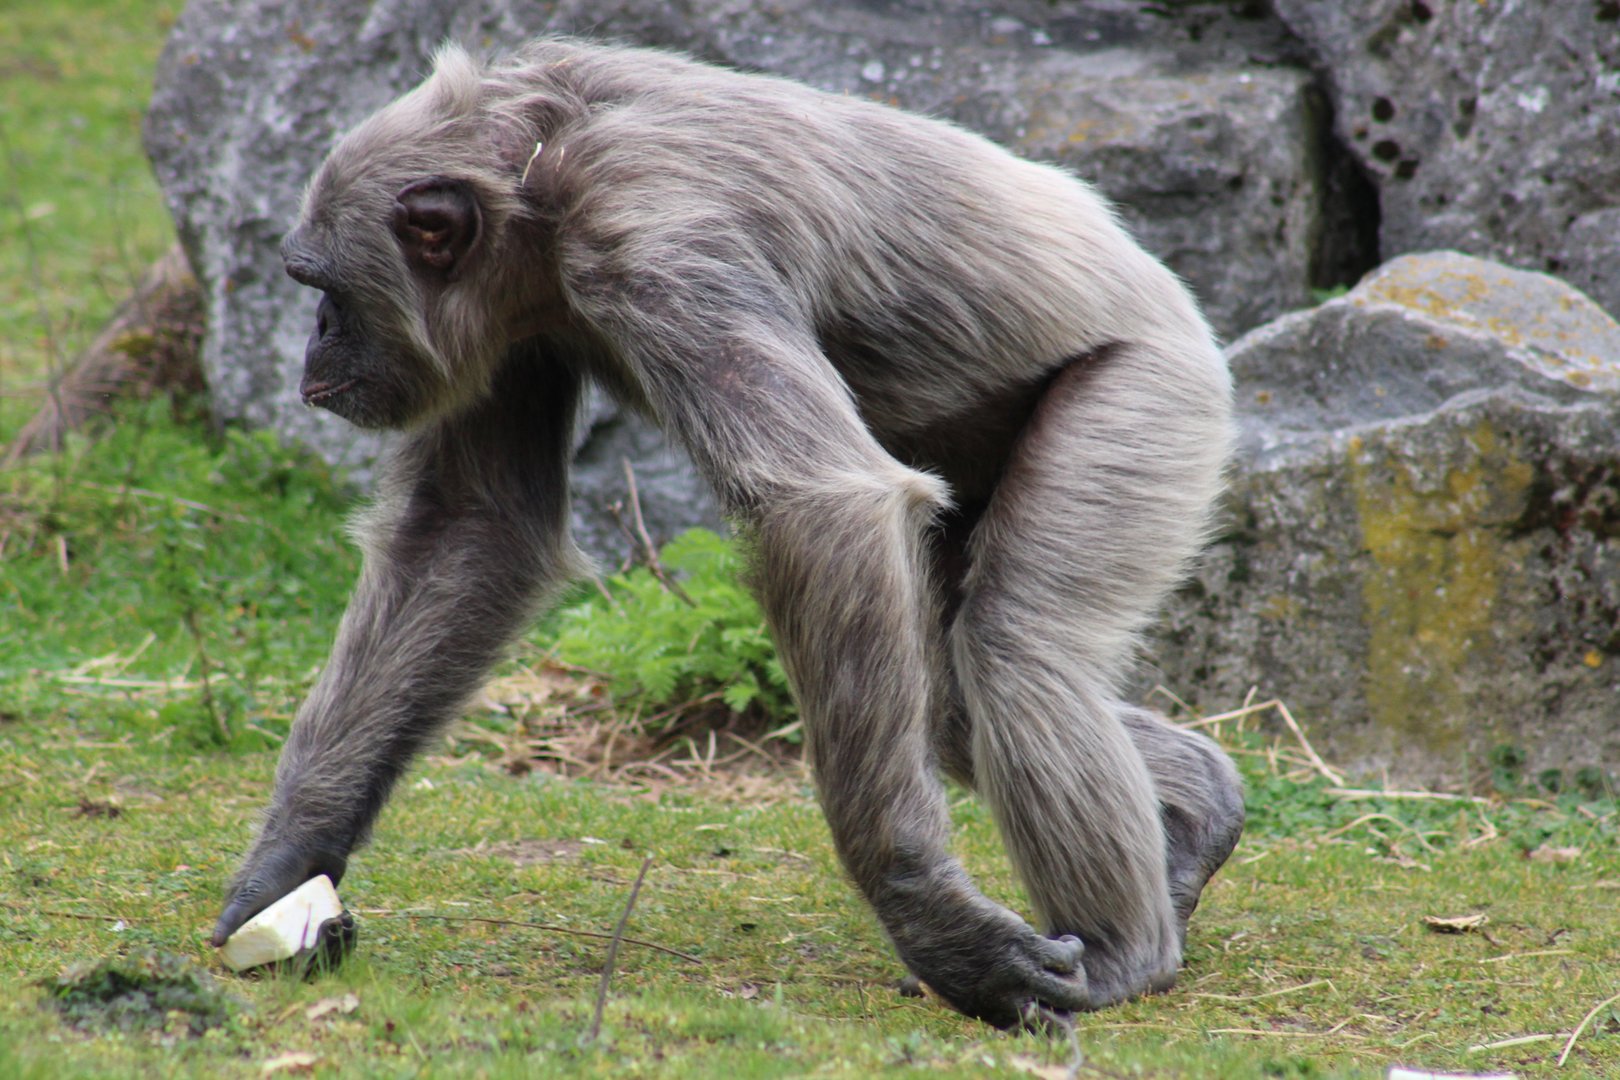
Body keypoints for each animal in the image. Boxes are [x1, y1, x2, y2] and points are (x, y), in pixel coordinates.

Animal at [210, 38, 1245, 1030]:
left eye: (321, 283)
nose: (314, 337)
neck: (540, 185)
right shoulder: (514, 324)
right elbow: (468, 528)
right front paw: (288, 866)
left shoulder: (660, 239)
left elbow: (819, 502)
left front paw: (929, 917)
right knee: (949, 698)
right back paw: (1200, 812)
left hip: (1146, 404)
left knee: (1012, 651)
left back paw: (1119, 951)